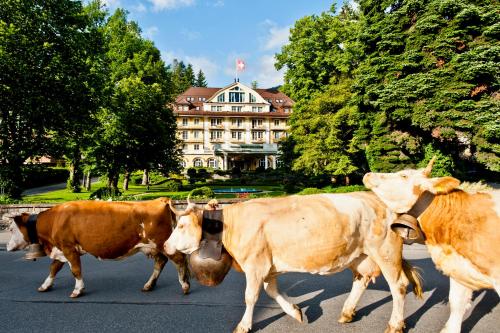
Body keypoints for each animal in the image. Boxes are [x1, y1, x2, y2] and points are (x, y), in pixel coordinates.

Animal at [5, 197, 189, 296]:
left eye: (12, 229)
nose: (6, 247)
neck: (54, 220)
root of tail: (160, 200)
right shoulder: (61, 249)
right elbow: (53, 268)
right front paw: (45, 286)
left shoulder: (69, 248)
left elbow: (75, 270)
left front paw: (78, 290)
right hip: (152, 246)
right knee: (161, 262)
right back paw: (149, 285)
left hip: (162, 243)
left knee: (179, 259)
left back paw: (185, 285)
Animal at [164, 192, 422, 332]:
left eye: (182, 225)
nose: (165, 246)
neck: (233, 226)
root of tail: (377, 199)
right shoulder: (267, 266)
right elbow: (272, 291)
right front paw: (296, 312)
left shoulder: (255, 265)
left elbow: (251, 296)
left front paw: (244, 325)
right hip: (360, 255)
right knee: (361, 280)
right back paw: (347, 313)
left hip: (385, 252)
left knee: (398, 286)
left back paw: (395, 325)